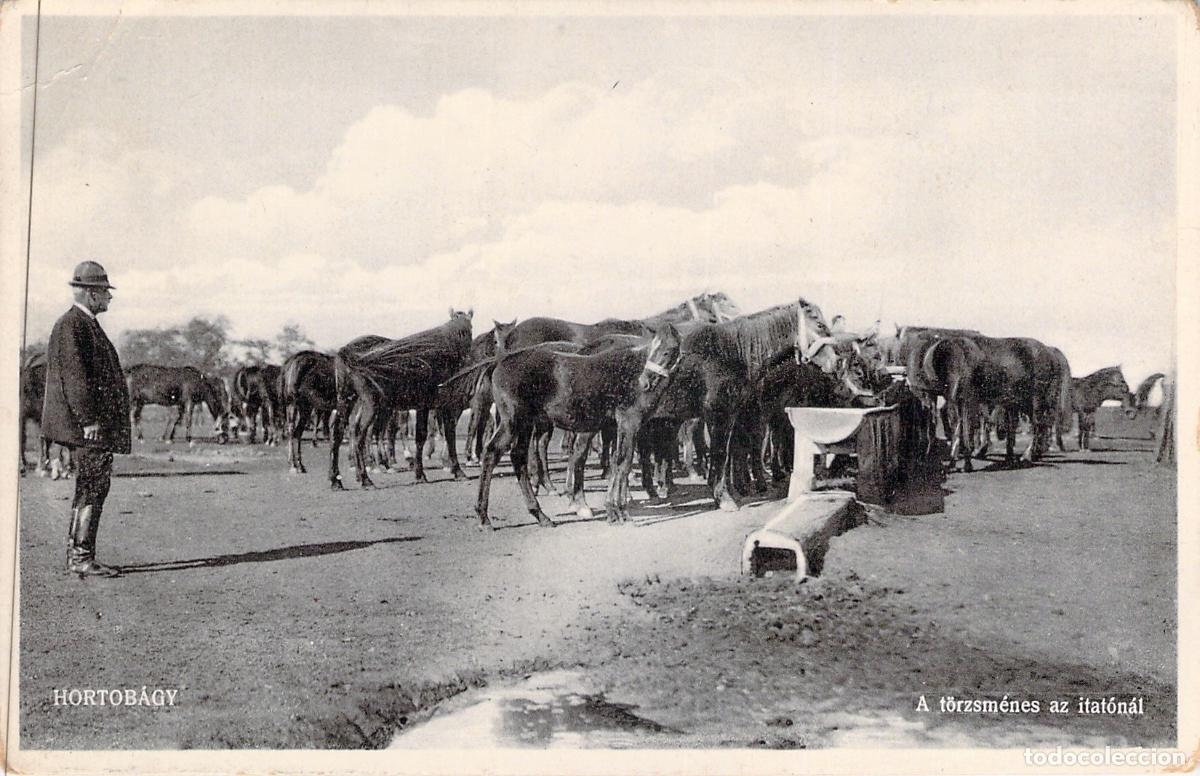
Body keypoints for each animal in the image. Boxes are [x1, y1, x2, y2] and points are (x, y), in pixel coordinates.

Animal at [330, 309, 474, 490]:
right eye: (470, 329)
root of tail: (345, 352)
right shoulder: (443, 405)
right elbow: (447, 435)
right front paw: (456, 471)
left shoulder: (423, 406)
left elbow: (421, 436)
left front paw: (420, 474)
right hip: (370, 404)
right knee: (360, 435)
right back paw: (365, 478)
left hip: (346, 399)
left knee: (338, 433)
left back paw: (336, 480)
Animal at [475, 323, 683, 528]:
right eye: (653, 348)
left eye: (669, 350)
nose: (645, 381)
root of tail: (499, 362)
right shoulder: (629, 423)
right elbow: (624, 463)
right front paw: (620, 511)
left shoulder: (617, 427)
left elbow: (616, 462)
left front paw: (613, 509)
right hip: (513, 421)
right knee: (492, 452)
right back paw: (484, 517)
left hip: (525, 424)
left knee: (518, 456)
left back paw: (540, 515)